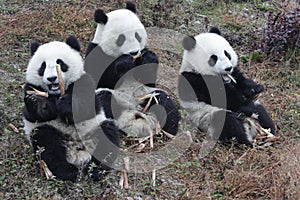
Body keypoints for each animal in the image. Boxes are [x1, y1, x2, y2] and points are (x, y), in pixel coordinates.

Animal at [23, 36, 119, 181]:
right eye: (43, 66)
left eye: (60, 63)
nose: (52, 78)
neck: (57, 93)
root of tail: (77, 152)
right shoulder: (31, 87)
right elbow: (36, 114)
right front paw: (36, 102)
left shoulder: (83, 81)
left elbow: (87, 106)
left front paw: (66, 104)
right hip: (49, 132)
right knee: (47, 144)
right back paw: (69, 171)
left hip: (95, 128)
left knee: (107, 138)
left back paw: (96, 170)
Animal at [84, 1, 179, 137]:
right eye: (121, 39)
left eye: (137, 36)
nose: (134, 52)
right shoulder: (96, 52)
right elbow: (100, 77)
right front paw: (124, 63)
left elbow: (148, 79)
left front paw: (149, 58)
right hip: (109, 98)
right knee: (104, 100)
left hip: (146, 95)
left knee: (164, 102)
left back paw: (170, 129)